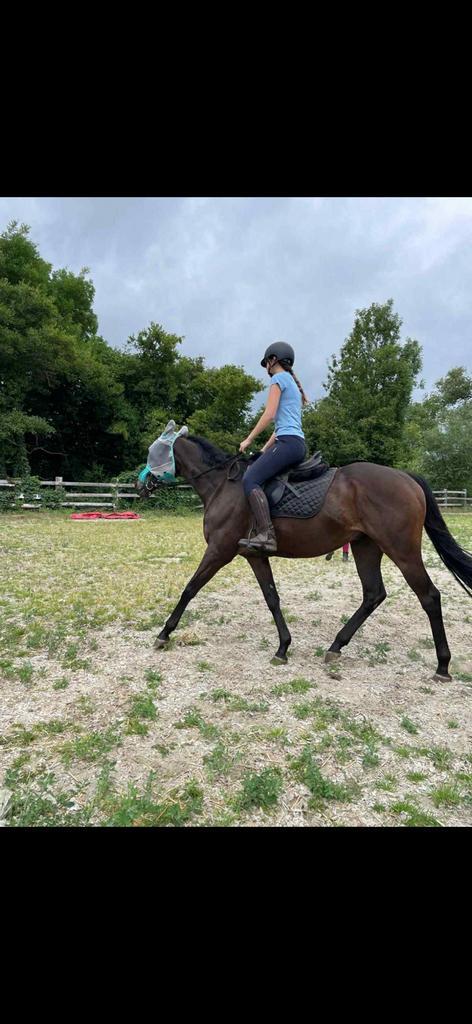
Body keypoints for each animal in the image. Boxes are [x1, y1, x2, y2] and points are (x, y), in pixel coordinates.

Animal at [136, 429, 472, 681]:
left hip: (402, 551)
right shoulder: (254, 555)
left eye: (155, 452)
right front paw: (283, 647)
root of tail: (406, 478)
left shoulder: (219, 550)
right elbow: (272, 598)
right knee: (373, 594)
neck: (222, 485)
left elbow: (190, 588)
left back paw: (442, 665)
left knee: (429, 596)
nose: (141, 484)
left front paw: (164, 633)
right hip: (366, 547)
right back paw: (336, 646)